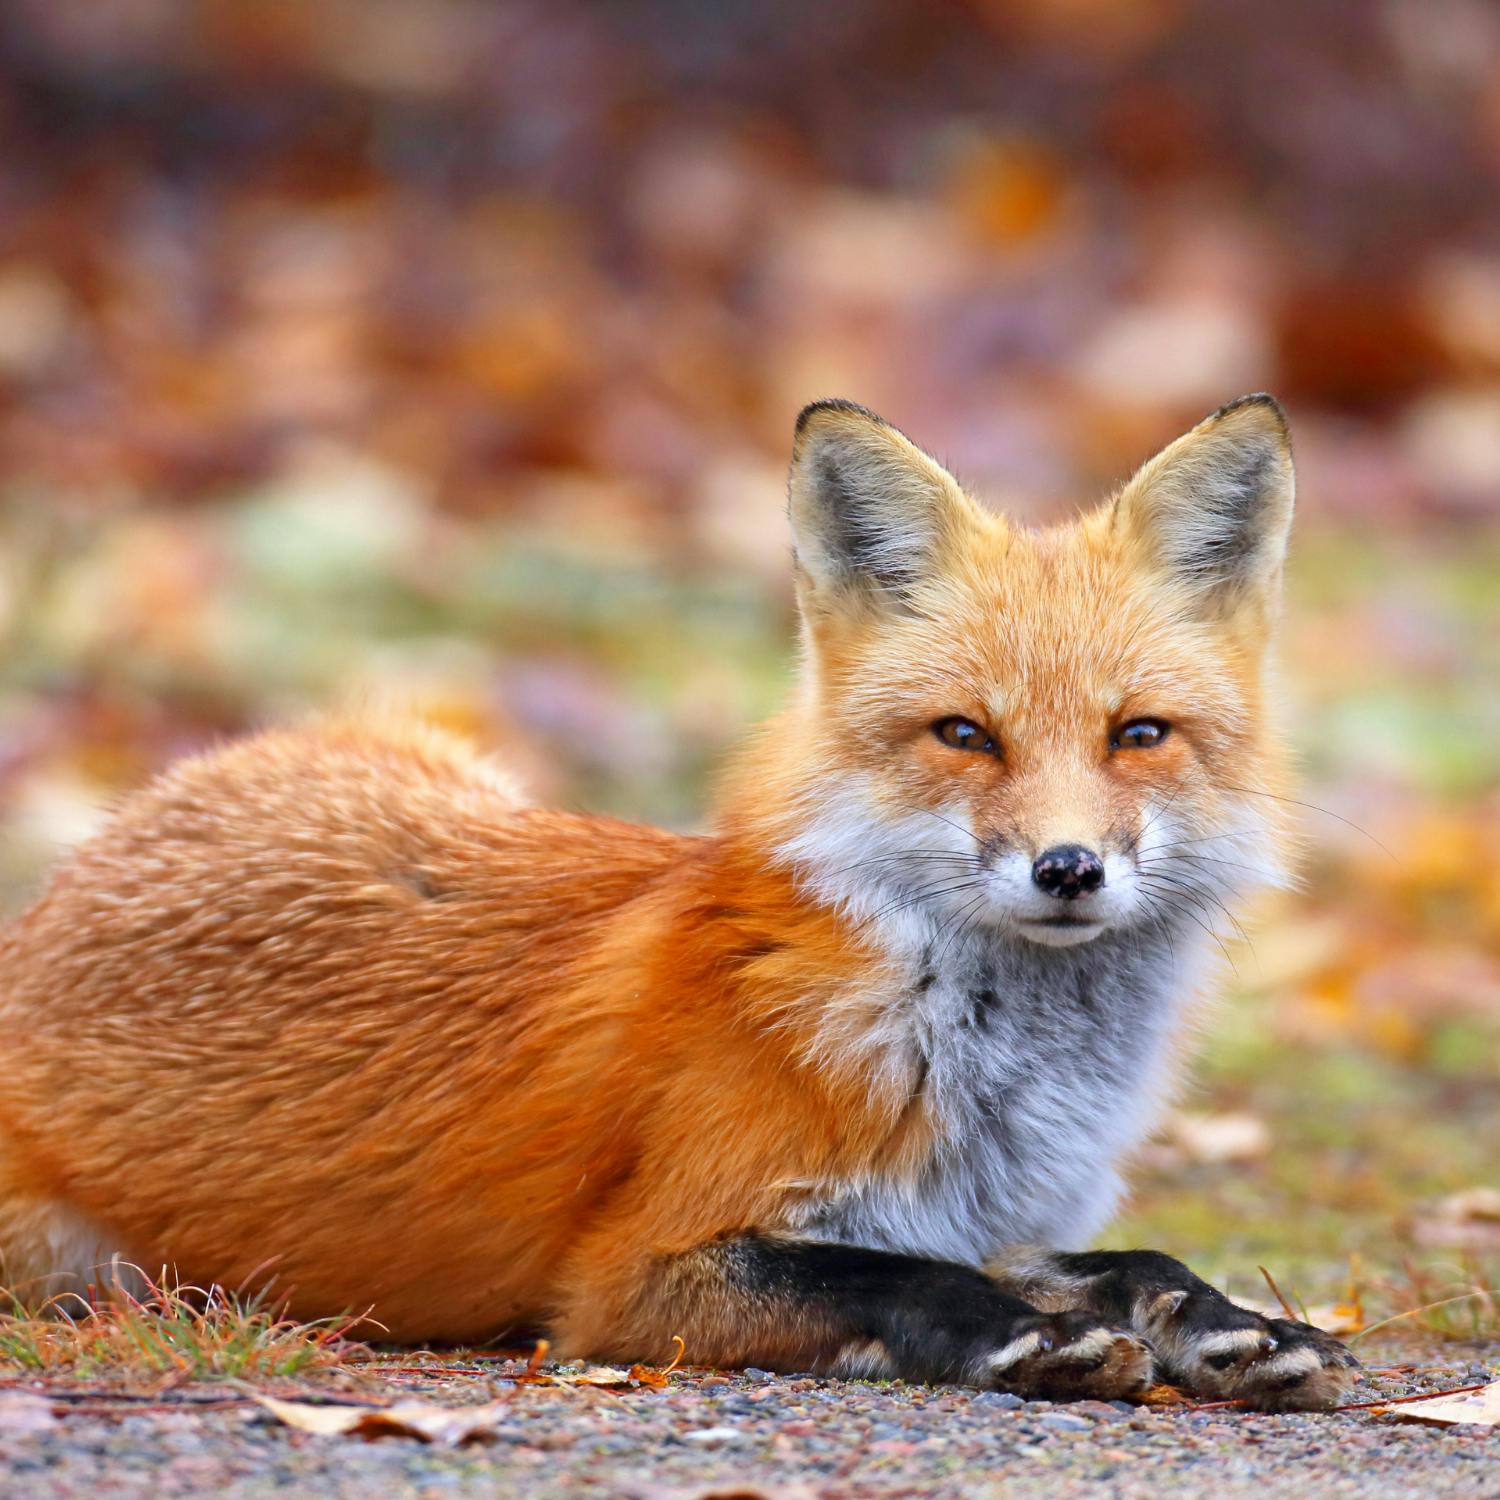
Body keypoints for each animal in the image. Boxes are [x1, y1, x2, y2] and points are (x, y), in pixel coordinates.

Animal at [0, 394, 1359, 1408]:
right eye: (966, 735)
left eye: (1140, 734)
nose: (1068, 869)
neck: (988, 1073)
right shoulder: (625, 1280)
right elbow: (888, 1280)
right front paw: (1020, 1334)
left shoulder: (989, 1208)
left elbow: (1125, 1258)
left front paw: (1228, 1319)